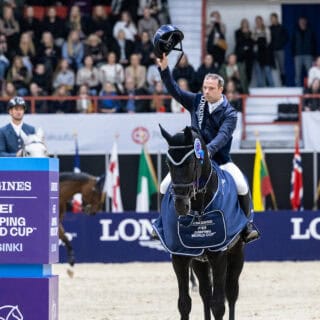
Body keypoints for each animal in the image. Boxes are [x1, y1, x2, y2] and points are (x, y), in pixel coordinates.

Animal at [154, 127, 249, 320]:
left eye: (191, 163)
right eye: (167, 163)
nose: (180, 205)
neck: (198, 207)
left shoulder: (219, 255)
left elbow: (218, 305)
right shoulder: (180, 256)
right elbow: (184, 303)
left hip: (236, 253)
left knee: (231, 292)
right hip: (199, 260)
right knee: (205, 292)